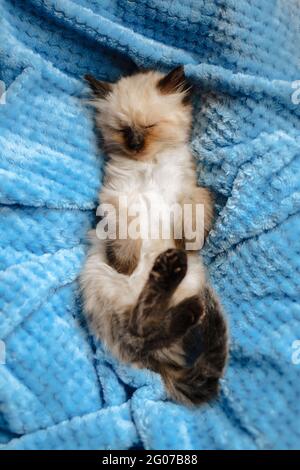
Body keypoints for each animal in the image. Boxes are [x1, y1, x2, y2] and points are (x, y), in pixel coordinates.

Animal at [80, 66, 227, 404]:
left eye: (149, 126)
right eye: (123, 130)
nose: (135, 145)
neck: (148, 165)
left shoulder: (190, 191)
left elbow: (197, 208)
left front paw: (189, 239)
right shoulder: (117, 199)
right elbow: (126, 234)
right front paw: (126, 264)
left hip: (193, 278)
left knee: (150, 326)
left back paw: (175, 280)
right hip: (100, 278)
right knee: (140, 327)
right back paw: (168, 279)